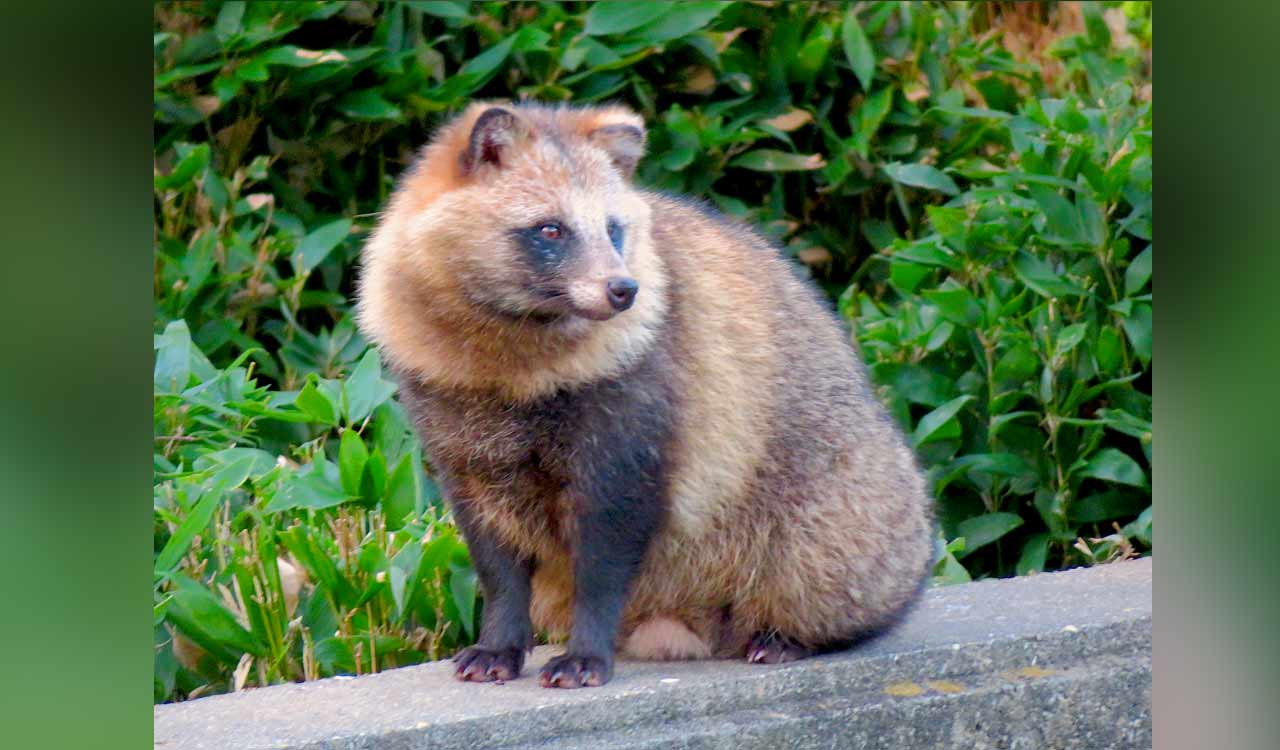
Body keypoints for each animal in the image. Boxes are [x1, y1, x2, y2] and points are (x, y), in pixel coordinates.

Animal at [356, 102, 934, 689]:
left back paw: (791, 633)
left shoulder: (635, 416)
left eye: (613, 229)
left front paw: (587, 650)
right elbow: (496, 559)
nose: (624, 290)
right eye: (551, 229)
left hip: (837, 521)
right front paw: (501, 639)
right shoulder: (459, 439)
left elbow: (605, 554)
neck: (510, 358)